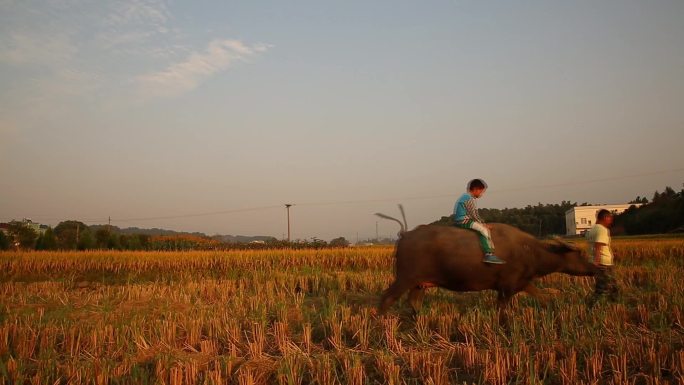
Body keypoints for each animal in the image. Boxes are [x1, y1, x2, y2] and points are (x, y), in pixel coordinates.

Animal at [376, 213, 596, 316]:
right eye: (580, 254)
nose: (594, 269)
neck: (529, 250)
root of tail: (405, 236)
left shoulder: (522, 282)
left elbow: (543, 297)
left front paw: (552, 309)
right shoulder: (506, 288)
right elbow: (501, 309)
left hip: (420, 283)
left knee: (414, 302)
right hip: (405, 278)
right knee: (387, 298)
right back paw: (382, 322)